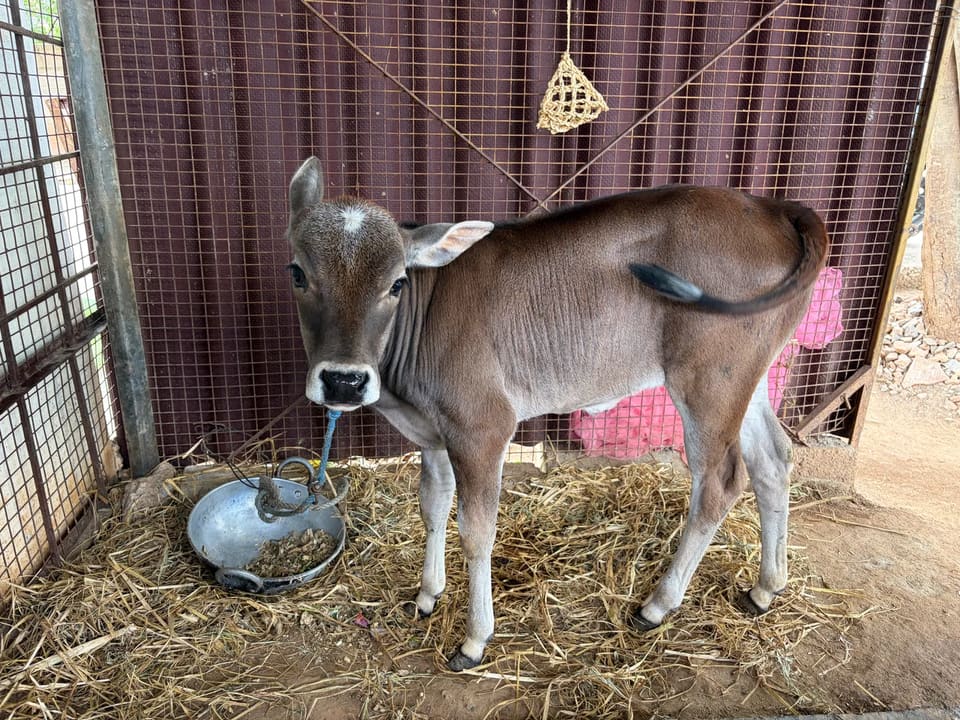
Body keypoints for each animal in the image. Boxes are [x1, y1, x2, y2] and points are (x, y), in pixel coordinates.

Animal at [285, 156, 829, 671]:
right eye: (297, 273)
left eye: (397, 283)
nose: (344, 381)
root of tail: (771, 206)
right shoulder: (434, 432)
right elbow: (432, 506)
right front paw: (427, 594)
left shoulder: (481, 425)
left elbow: (476, 532)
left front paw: (475, 639)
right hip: (747, 377)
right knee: (773, 460)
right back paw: (765, 588)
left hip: (708, 378)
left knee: (720, 481)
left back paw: (657, 605)